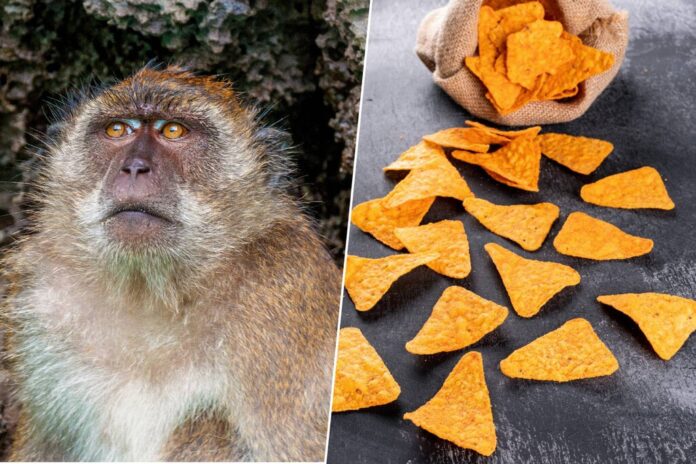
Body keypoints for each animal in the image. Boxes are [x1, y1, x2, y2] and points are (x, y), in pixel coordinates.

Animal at [0, 65, 342, 461]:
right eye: (118, 129)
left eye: (173, 131)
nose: (135, 167)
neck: (152, 294)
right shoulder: (42, 295)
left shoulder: (281, 290)